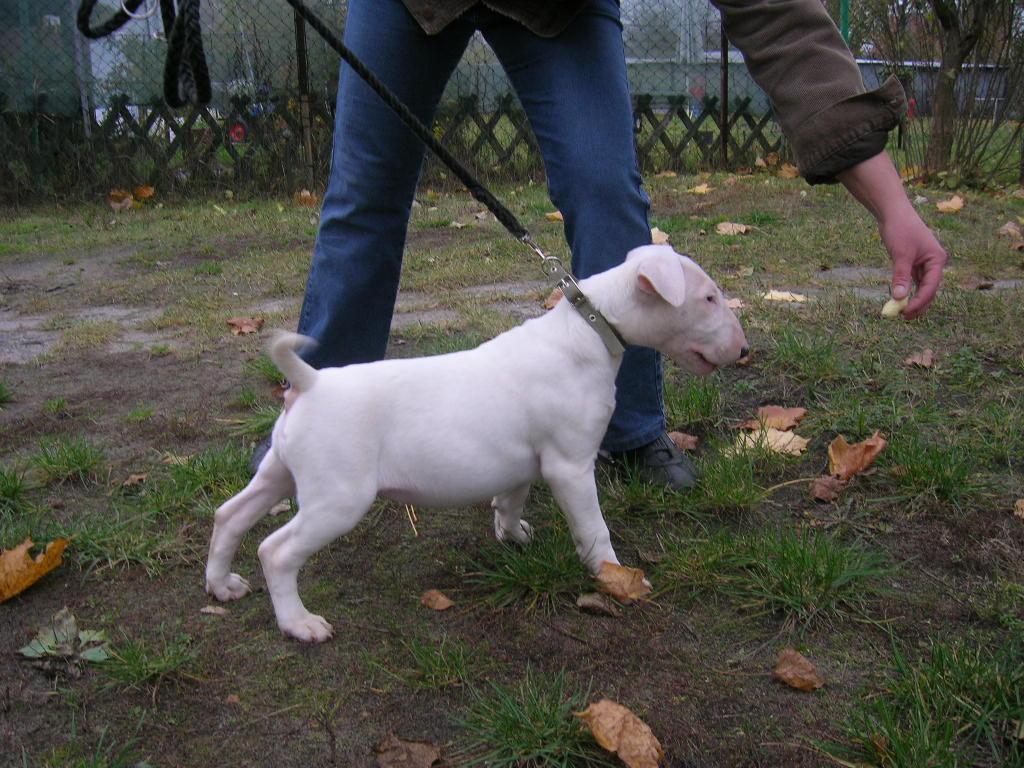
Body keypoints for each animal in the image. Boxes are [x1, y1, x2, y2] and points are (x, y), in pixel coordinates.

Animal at [203, 246, 749, 643]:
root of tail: (310, 382)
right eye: (708, 299)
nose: (744, 351)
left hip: (279, 473)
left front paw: (513, 535)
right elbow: (594, 529)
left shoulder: (526, 461)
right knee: (275, 550)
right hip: (337, 497)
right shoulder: (571, 466)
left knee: (230, 514)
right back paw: (300, 624)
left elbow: (510, 499)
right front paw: (614, 575)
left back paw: (222, 585)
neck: (591, 329)